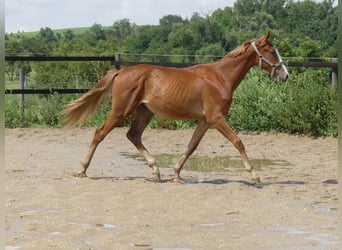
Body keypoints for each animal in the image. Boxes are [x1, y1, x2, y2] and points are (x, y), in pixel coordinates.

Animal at [60, 31, 288, 184]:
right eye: (272, 51)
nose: (285, 75)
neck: (219, 78)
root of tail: (121, 72)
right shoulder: (216, 118)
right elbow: (238, 141)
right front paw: (255, 174)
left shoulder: (205, 121)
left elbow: (191, 146)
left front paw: (177, 173)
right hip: (121, 110)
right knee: (100, 133)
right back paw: (82, 170)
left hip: (145, 112)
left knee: (133, 135)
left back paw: (156, 170)